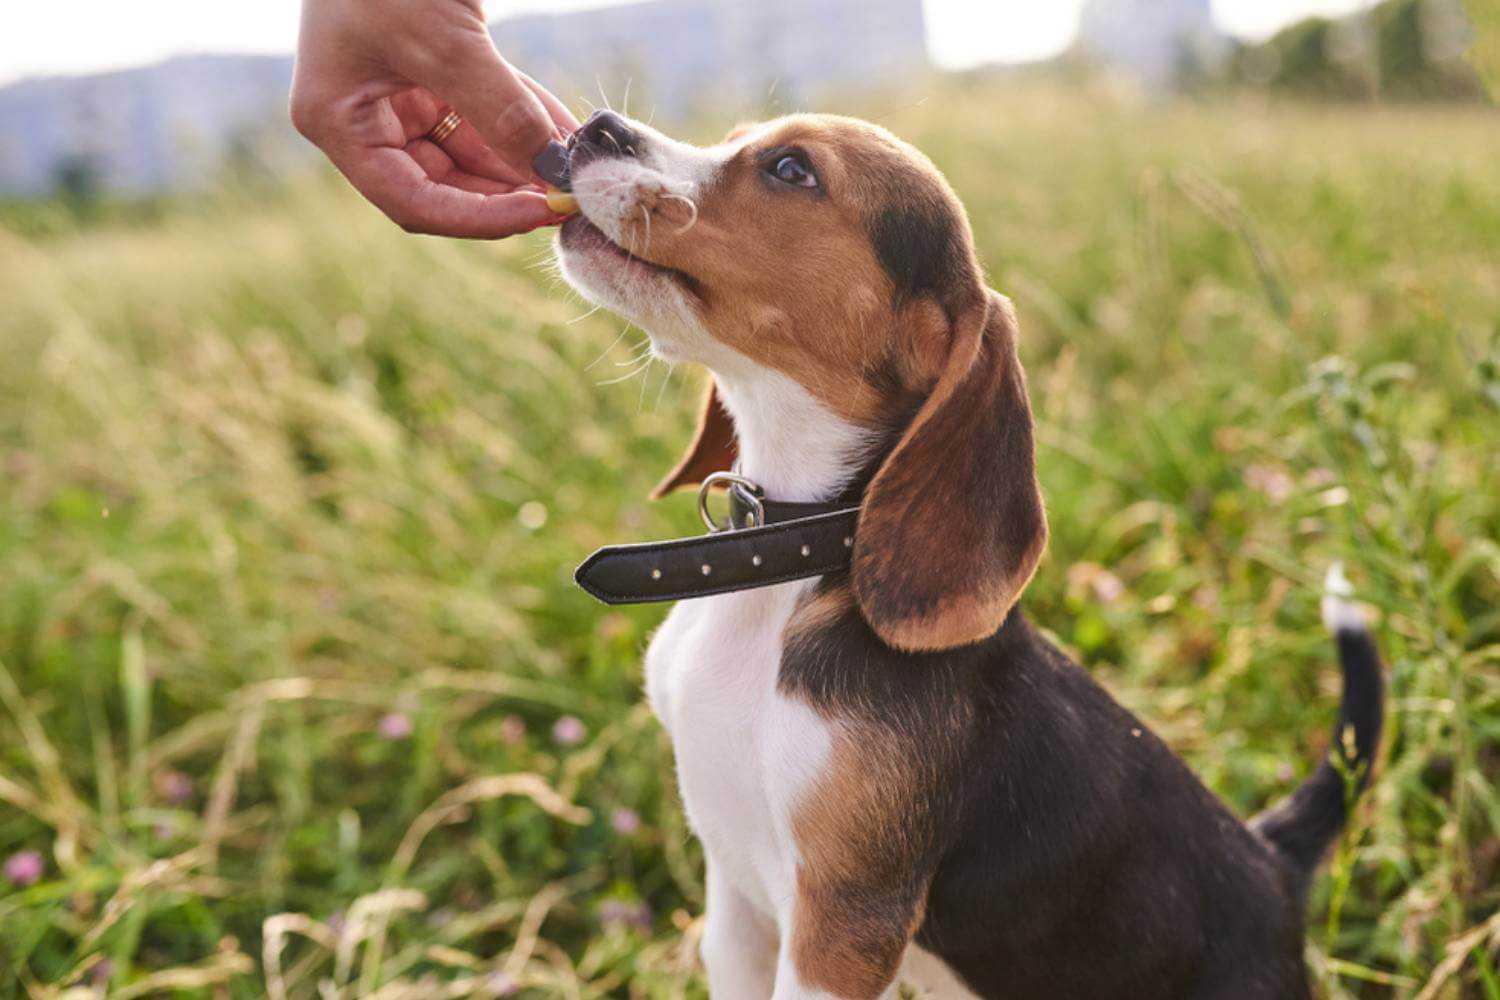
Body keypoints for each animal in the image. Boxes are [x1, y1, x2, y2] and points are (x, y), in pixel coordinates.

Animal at [552, 109, 1380, 1000]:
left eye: (791, 169)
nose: (595, 126)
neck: (788, 570)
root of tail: (1274, 864)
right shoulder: (734, 901)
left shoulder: (839, 928)